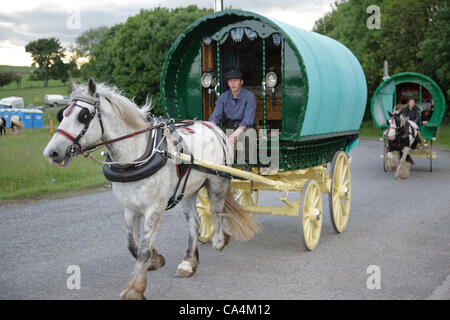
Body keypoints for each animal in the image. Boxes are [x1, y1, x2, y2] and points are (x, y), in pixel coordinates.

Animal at [43, 78, 260, 300]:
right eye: (62, 114)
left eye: (83, 116)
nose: (51, 153)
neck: (136, 155)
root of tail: (212, 126)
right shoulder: (129, 208)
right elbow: (132, 244)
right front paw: (156, 261)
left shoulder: (154, 208)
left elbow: (143, 248)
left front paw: (135, 289)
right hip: (188, 189)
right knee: (195, 222)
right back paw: (188, 263)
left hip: (216, 180)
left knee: (217, 211)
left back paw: (219, 240)